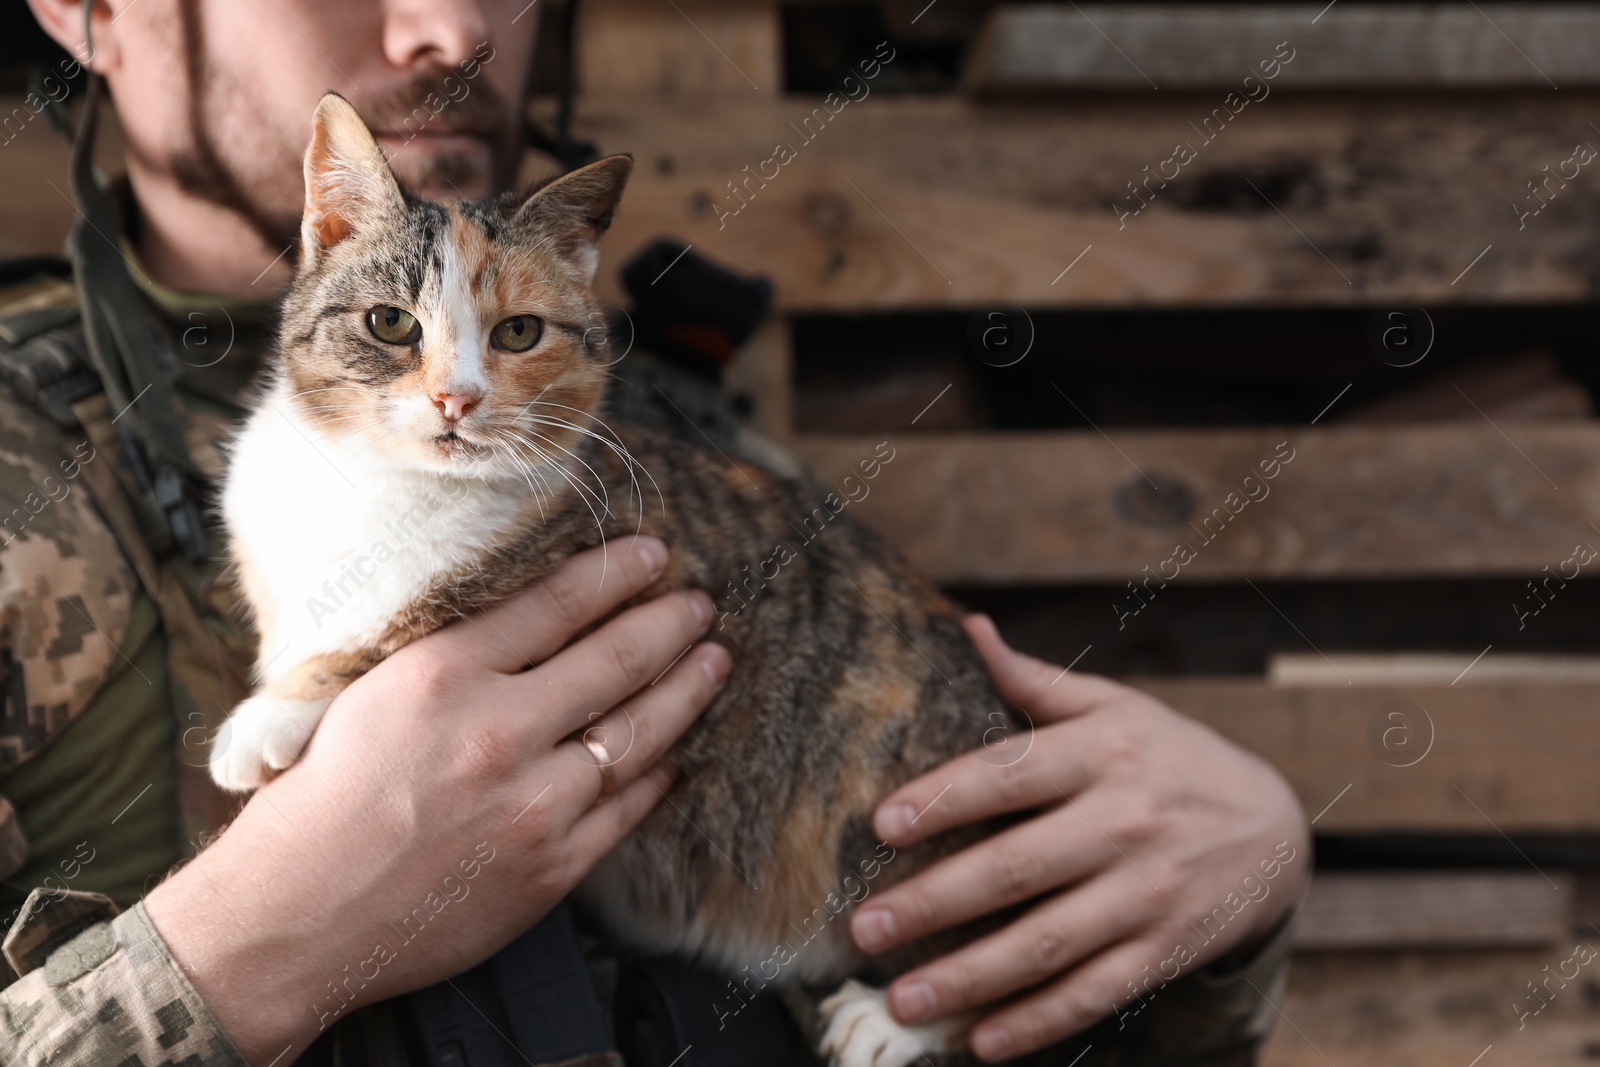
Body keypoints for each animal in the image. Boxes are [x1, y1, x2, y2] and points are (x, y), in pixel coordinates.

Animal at [216, 93, 1024, 1067]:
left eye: (518, 332)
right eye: (390, 323)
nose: (456, 397)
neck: (378, 486)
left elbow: (396, 626)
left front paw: (267, 715)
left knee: (991, 953)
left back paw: (894, 1016)